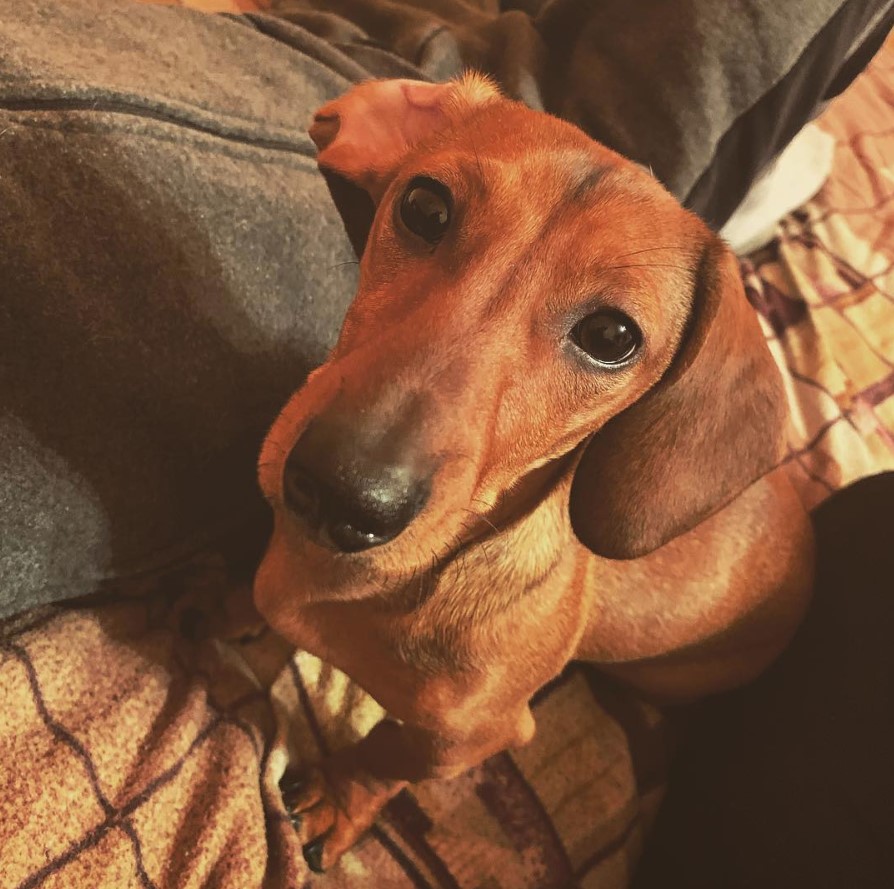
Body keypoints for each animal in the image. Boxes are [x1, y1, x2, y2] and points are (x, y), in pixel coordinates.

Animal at [254, 73, 820, 872]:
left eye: (612, 336)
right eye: (425, 206)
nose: (339, 491)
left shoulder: (475, 735)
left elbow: (393, 752)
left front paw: (343, 796)